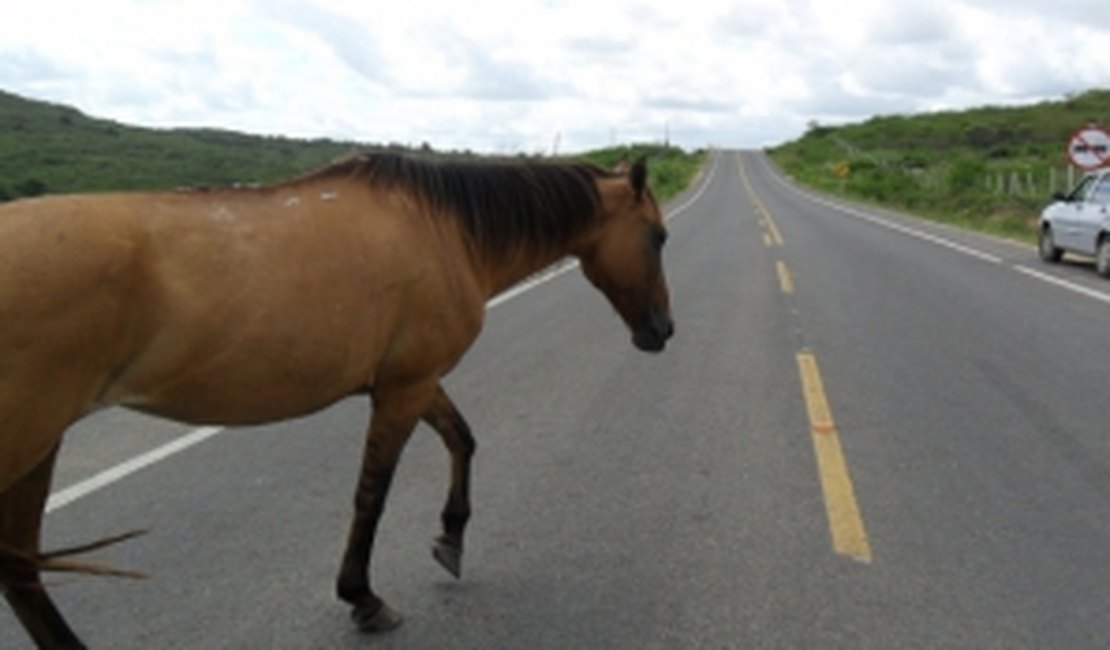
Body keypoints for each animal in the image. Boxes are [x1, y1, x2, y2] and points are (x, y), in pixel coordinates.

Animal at [0, 149, 674, 643]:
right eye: (658, 236)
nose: (662, 331)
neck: (446, 231)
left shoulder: (411, 380)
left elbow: (462, 440)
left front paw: (451, 538)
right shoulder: (404, 389)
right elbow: (372, 495)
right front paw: (364, 598)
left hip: (39, 445)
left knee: (22, 570)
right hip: (29, 439)